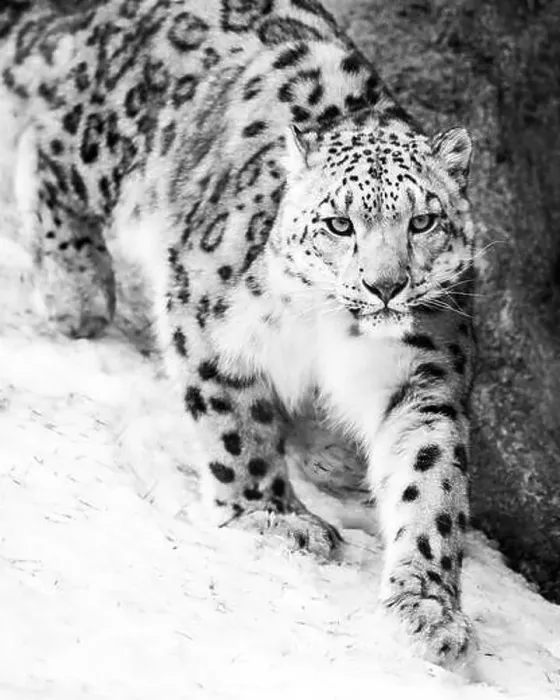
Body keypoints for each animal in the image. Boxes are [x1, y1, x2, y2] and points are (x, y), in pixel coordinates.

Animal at [0, 0, 476, 669]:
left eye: (424, 221)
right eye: (339, 224)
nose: (385, 285)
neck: (336, 332)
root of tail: (108, 16)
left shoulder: (423, 377)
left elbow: (430, 478)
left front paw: (428, 606)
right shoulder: (208, 318)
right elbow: (237, 423)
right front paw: (273, 515)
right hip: (107, 140)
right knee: (51, 152)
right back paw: (77, 294)